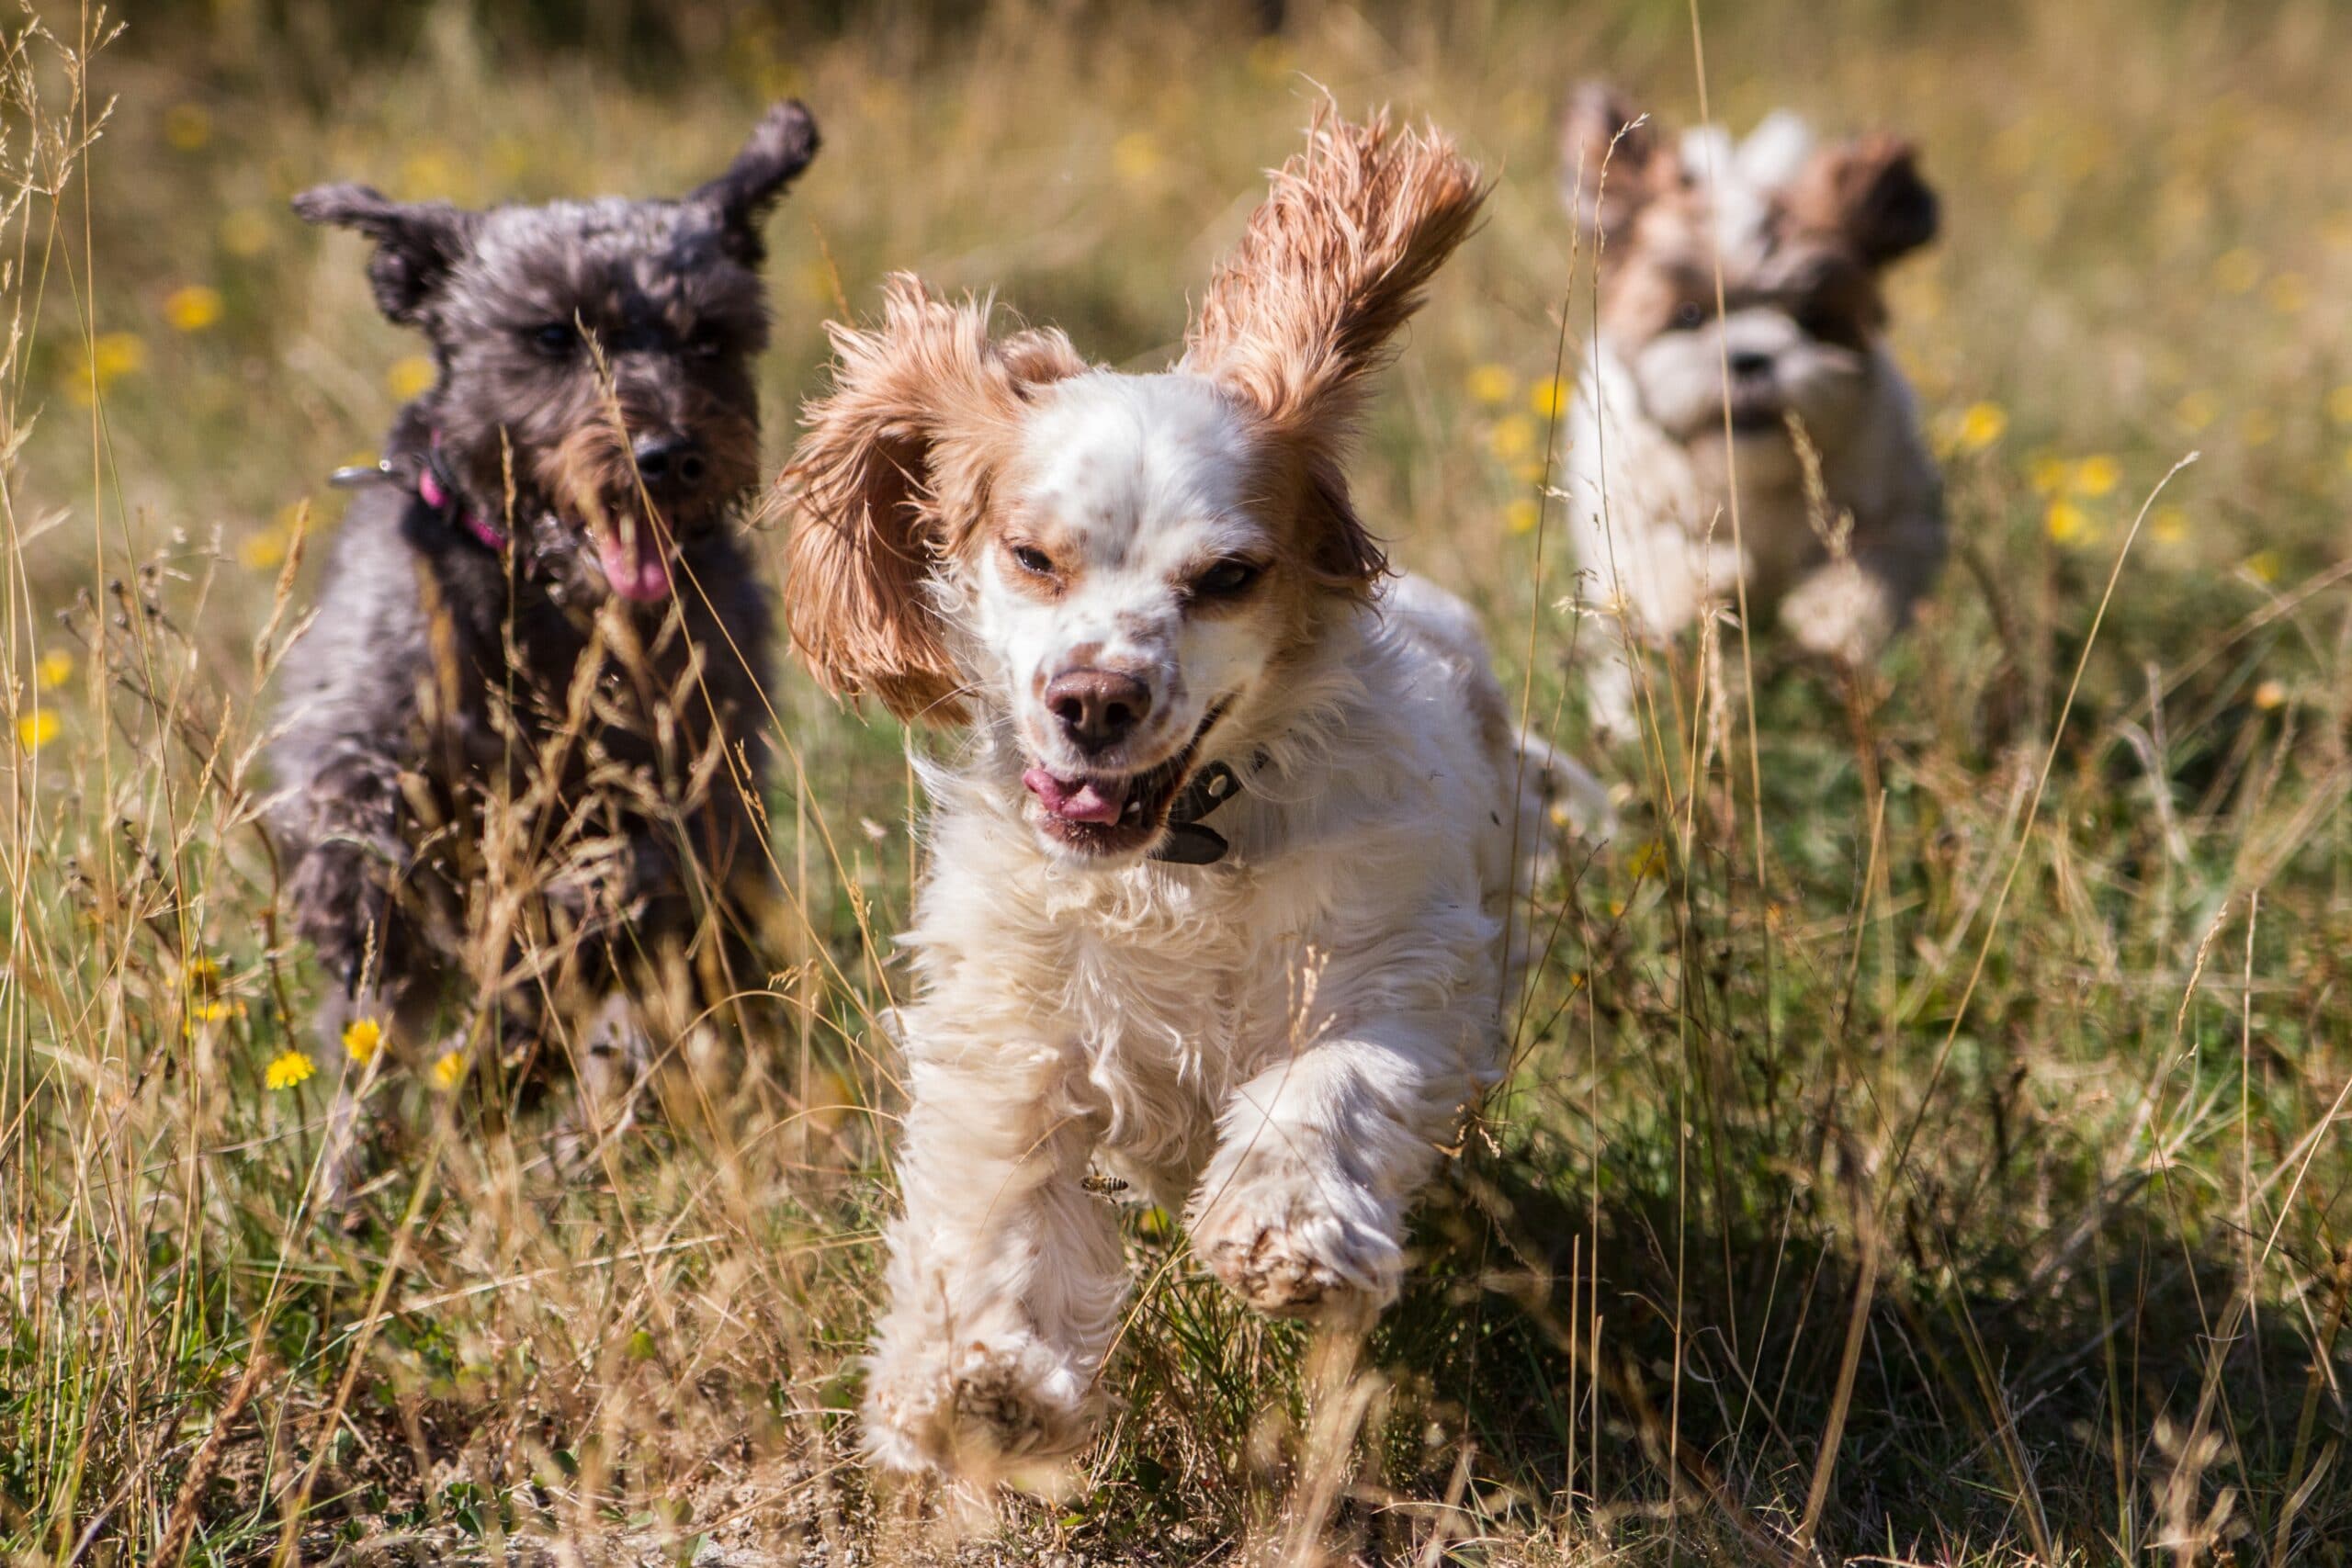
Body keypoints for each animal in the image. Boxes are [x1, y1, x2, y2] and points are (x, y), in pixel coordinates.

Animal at [276, 101, 818, 1175]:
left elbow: (633, 881)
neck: (553, 613)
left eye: (707, 339)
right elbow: (354, 826)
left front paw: (565, 924)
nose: (667, 454)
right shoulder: (354, 716)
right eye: (551, 336)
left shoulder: (700, 778)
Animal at [790, 107, 1580, 1485]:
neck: (1175, 859)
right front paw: (982, 1383)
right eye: (1032, 556)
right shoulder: (1013, 1031)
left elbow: (1330, 1083)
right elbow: (997, 1199)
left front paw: (1284, 1229)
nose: (1095, 698)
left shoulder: (1392, 965)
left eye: (1226, 575)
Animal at [1561, 85, 1947, 742]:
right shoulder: (1624, 501)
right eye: (1689, 314)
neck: (1748, 475)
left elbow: (1875, 562)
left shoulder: (1900, 509)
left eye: (1813, 318)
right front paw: (1705, 580)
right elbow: (1655, 552)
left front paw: (1831, 614)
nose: (1749, 356)